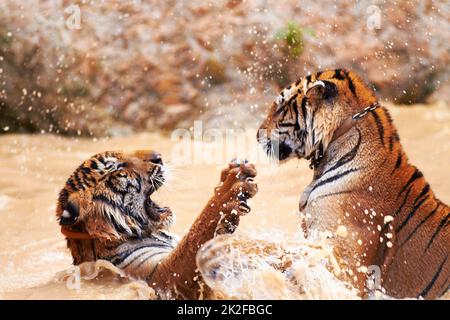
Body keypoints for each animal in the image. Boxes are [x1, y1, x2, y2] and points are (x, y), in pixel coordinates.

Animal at [56, 151, 258, 300]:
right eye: (117, 167)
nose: (158, 156)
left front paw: (230, 172)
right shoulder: (162, 278)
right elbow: (196, 235)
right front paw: (231, 187)